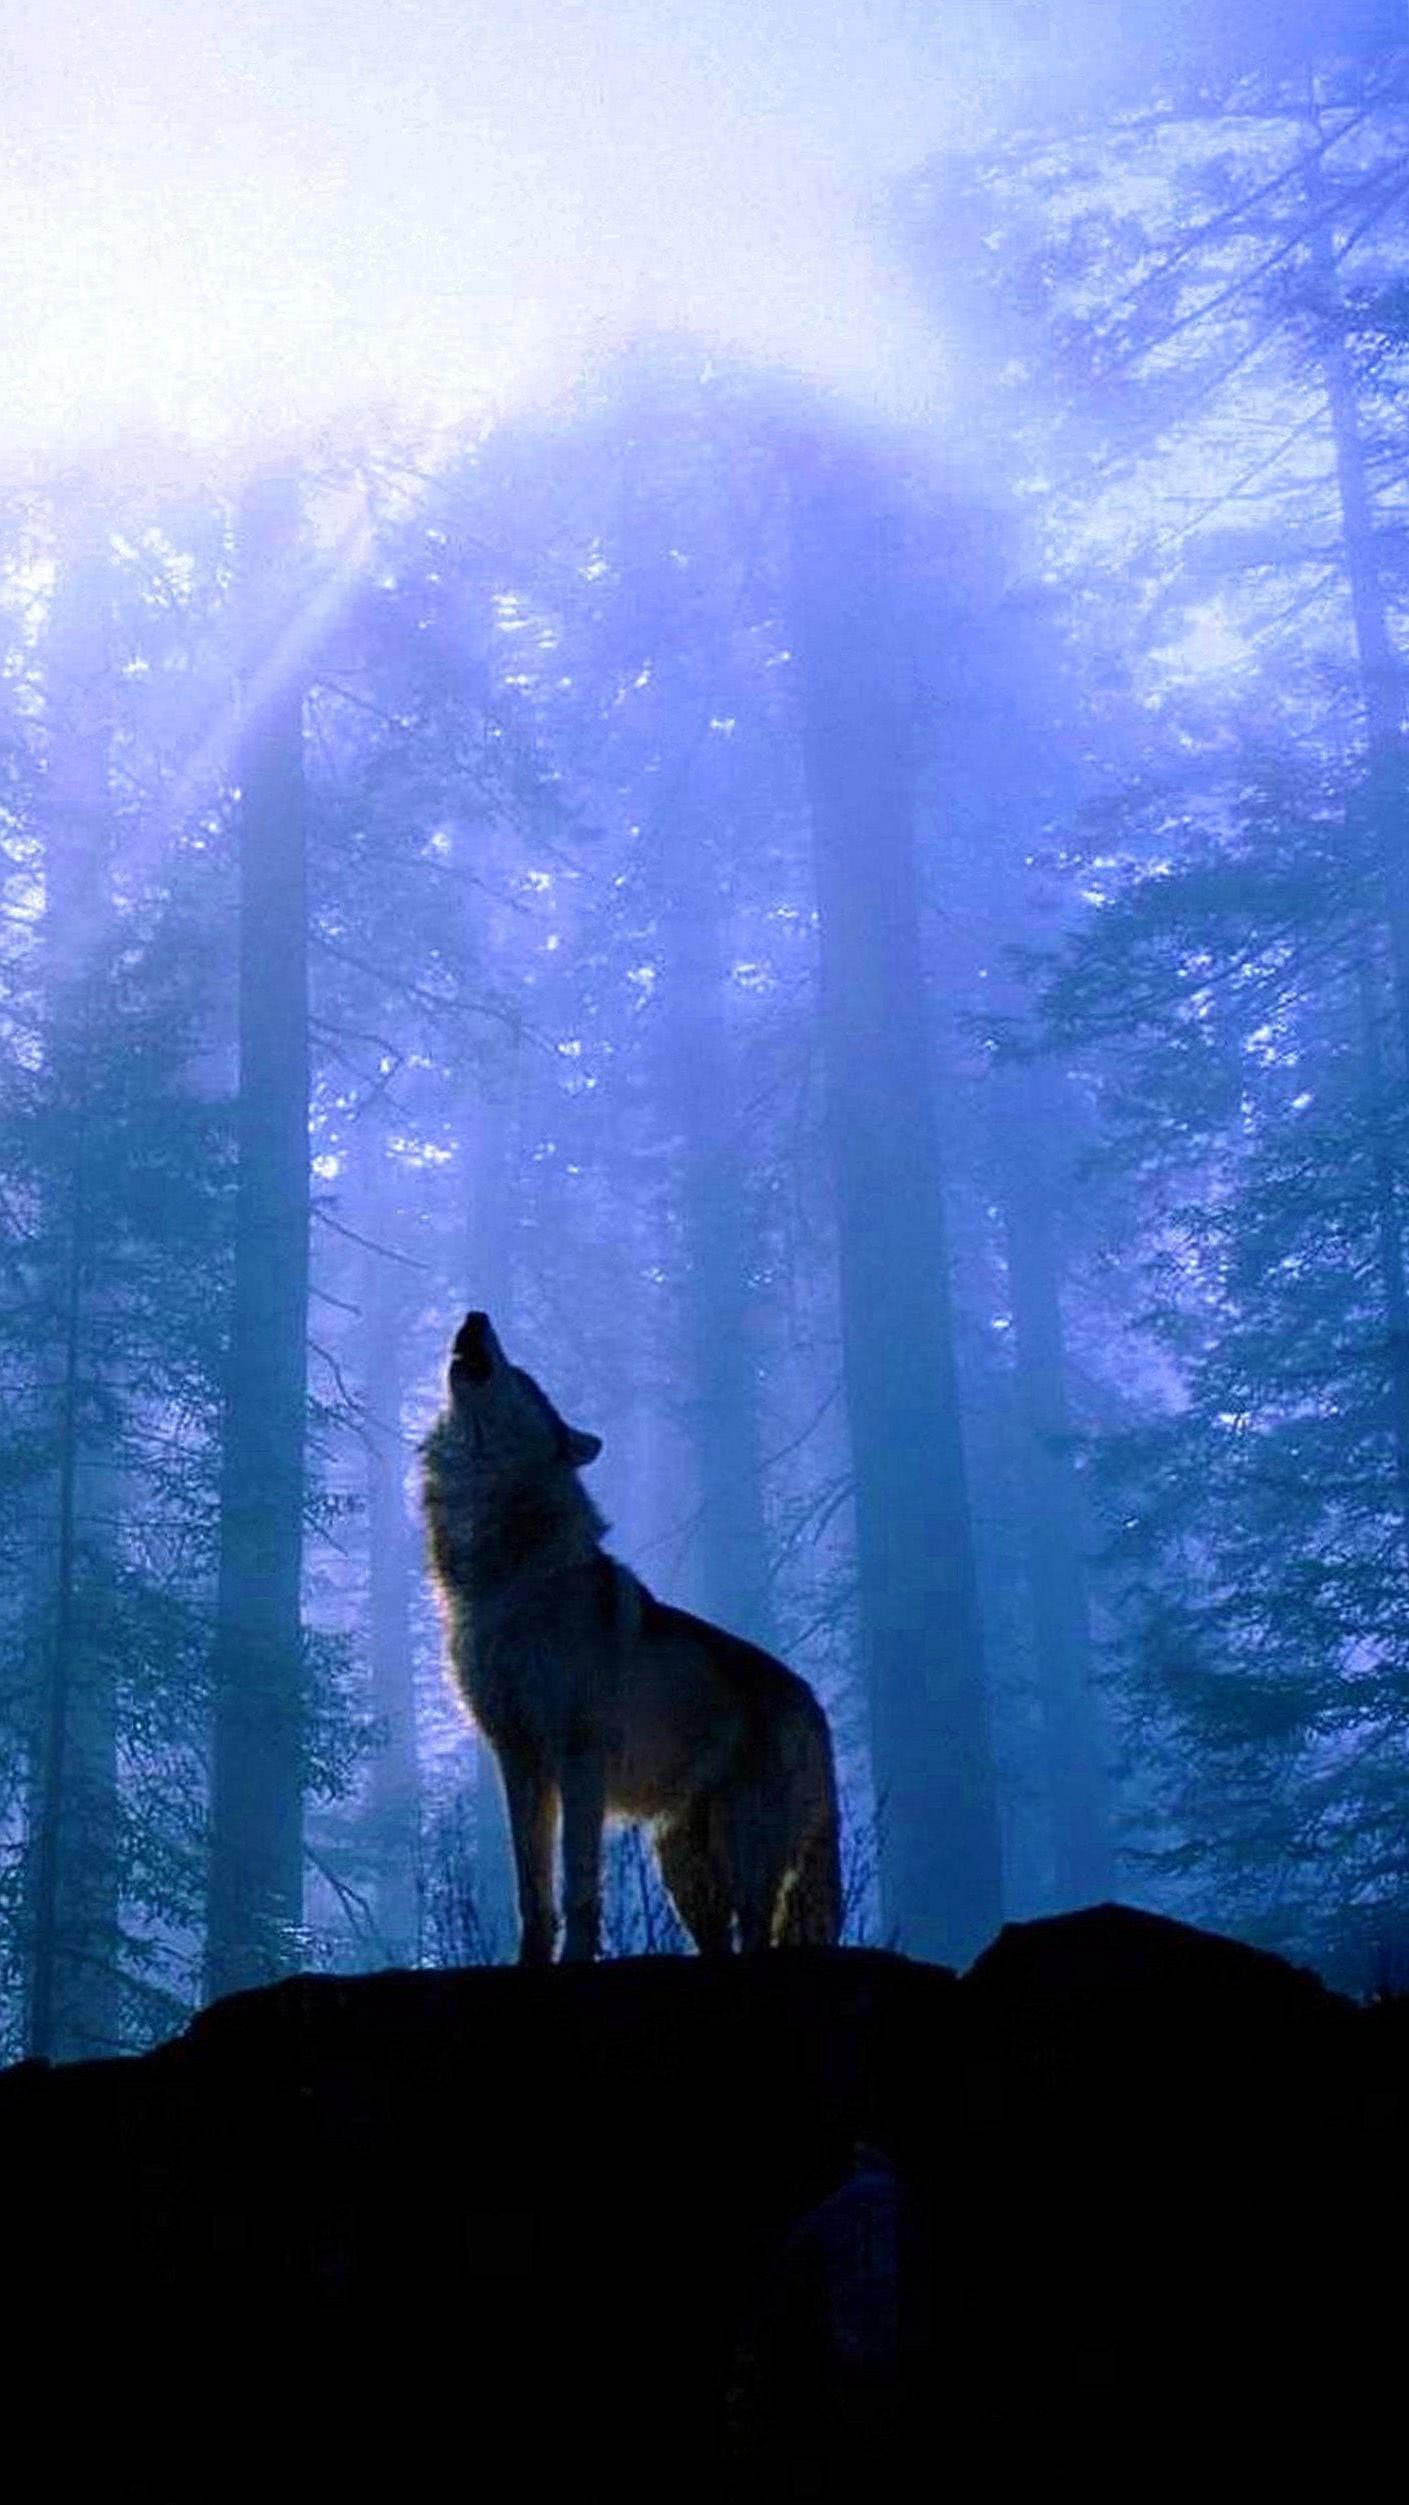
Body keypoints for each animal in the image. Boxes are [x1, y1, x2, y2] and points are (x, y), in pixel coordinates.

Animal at [421, 1310, 842, 1964]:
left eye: (523, 1377)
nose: (475, 1315)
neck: (504, 1576)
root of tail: (812, 1700)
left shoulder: (579, 1760)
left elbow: (578, 1887)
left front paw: (574, 1960)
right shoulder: (518, 1759)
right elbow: (532, 1891)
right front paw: (530, 1962)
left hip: (745, 1853)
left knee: (757, 1931)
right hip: (685, 1870)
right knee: (721, 1940)